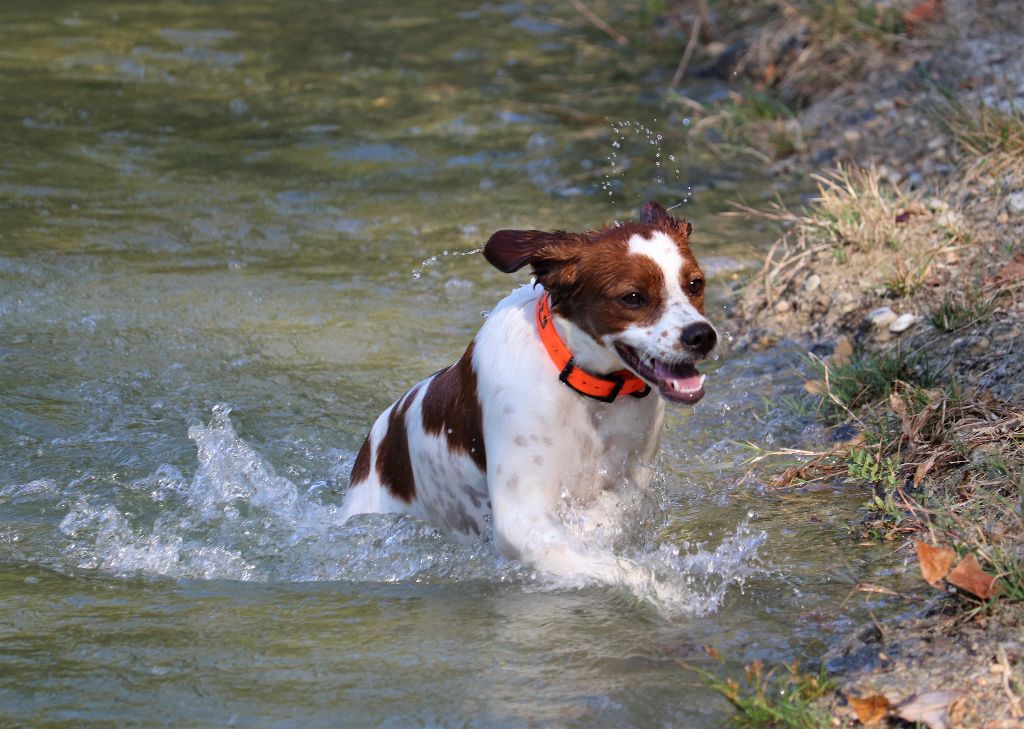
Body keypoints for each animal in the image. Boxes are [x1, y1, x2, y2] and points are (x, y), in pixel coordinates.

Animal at [340, 201, 717, 588]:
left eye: (695, 284)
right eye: (632, 298)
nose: (701, 335)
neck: (587, 390)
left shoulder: (632, 474)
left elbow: (612, 512)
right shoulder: (521, 519)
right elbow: (619, 567)